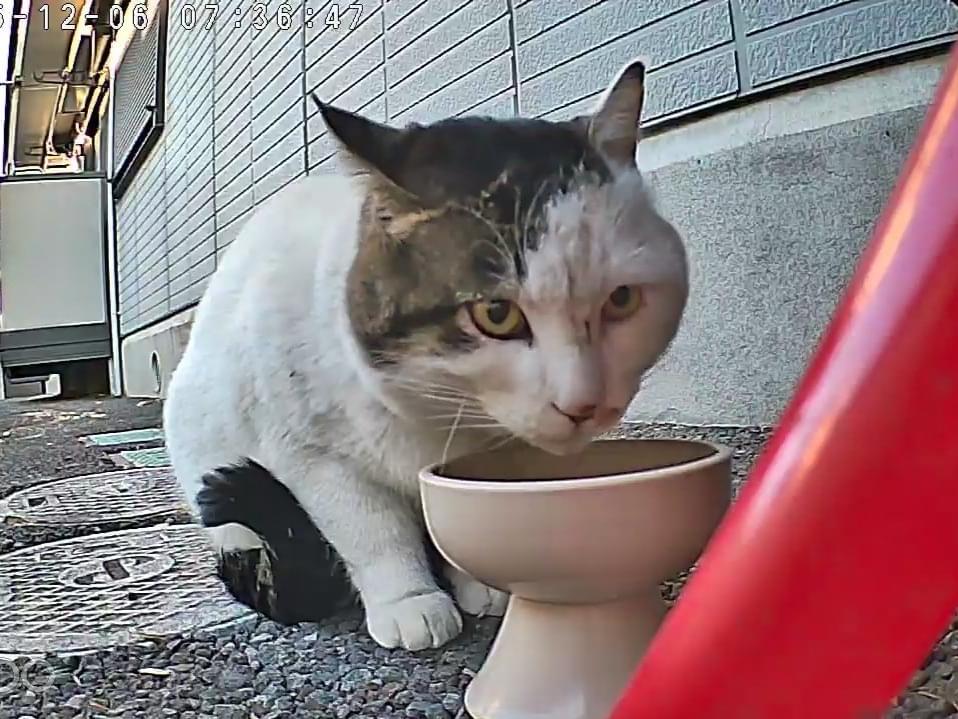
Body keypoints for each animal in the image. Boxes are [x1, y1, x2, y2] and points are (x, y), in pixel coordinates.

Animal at [162, 59, 689, 651]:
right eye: (496, 314)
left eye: (621, 300)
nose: (583, 403)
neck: (435, 412)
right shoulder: (306, 450)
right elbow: (370, 528)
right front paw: (409, 603)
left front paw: (479, 584)